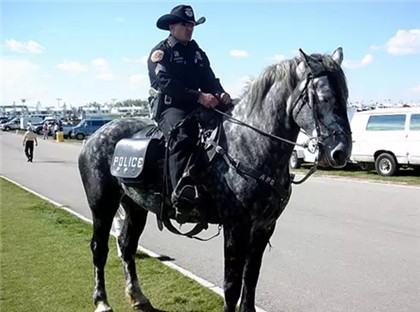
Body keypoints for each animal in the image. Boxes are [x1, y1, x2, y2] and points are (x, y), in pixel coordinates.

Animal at [78, 47, 352, 312]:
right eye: (324, 97)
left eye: (346, 97)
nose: (341, 152)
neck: (247, 144)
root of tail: (94, 137)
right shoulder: (235, 225)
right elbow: (232, 285)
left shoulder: (264, 227)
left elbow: (251, 279)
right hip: (102, 206)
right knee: (99, 248)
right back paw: (102, 302)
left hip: (135, 207)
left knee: (127, 245)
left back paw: (138, 296)